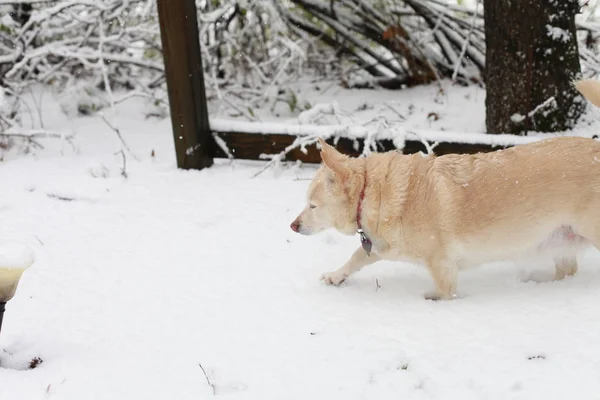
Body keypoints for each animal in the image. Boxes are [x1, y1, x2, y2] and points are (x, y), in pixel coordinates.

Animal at [290, 78, 600, 298]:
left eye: (312, 205)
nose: (292, 226)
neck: (375, 194)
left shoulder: (443, 267)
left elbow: (443, 293)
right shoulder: (378, 247)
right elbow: (357, 256)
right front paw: (336, 275)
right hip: (560, 242)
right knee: (568, 269)